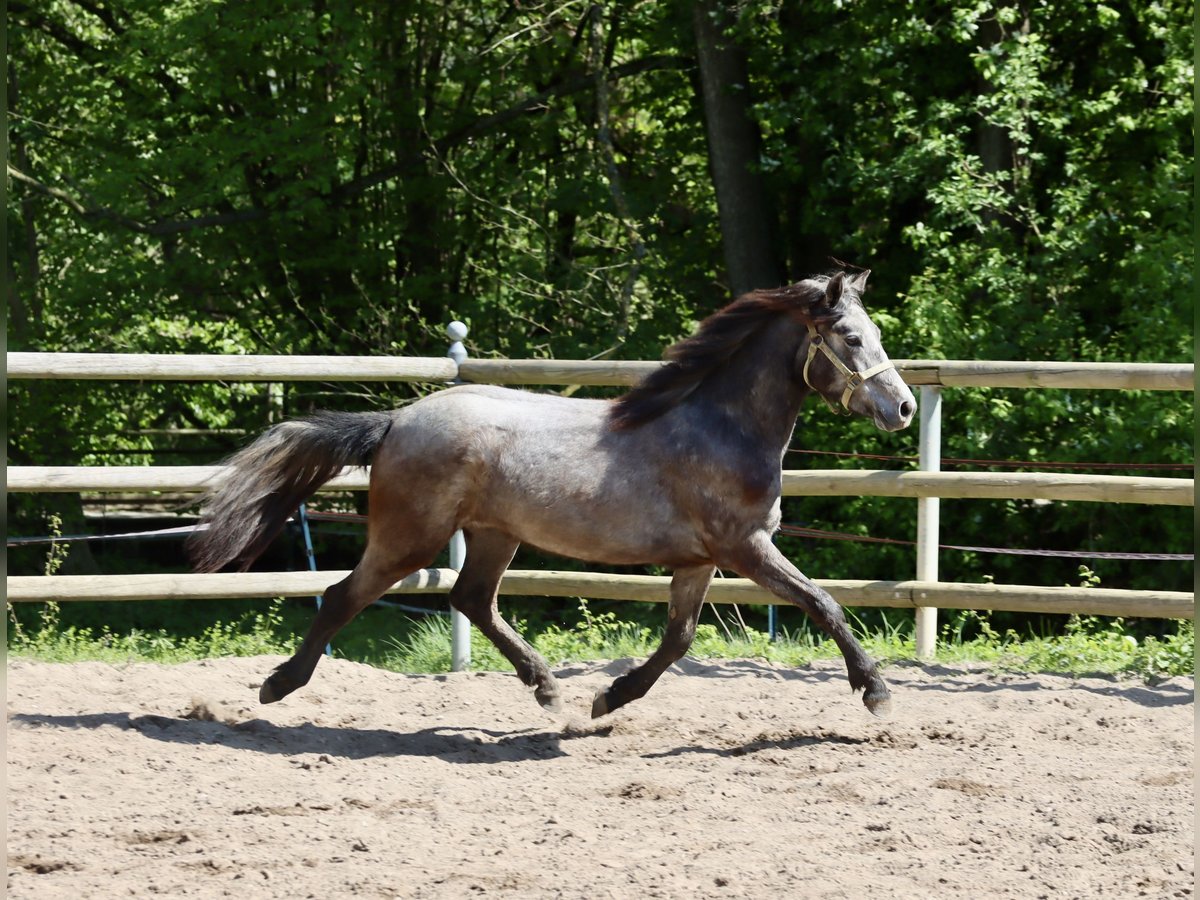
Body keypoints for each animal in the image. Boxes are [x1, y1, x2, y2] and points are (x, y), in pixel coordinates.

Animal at [189, 271, 916, 724]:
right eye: (852, 337)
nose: (905, 408)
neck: (720, 427)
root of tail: (397, 420)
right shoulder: (746, 548)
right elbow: (824, 604)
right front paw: (876, 691)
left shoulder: (700, 560)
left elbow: (679, 638)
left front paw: (611, 699)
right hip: (410, 538)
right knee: (346, 594)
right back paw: (278, 685)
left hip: (494, 534)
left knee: (471, 601)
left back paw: (547, 688)